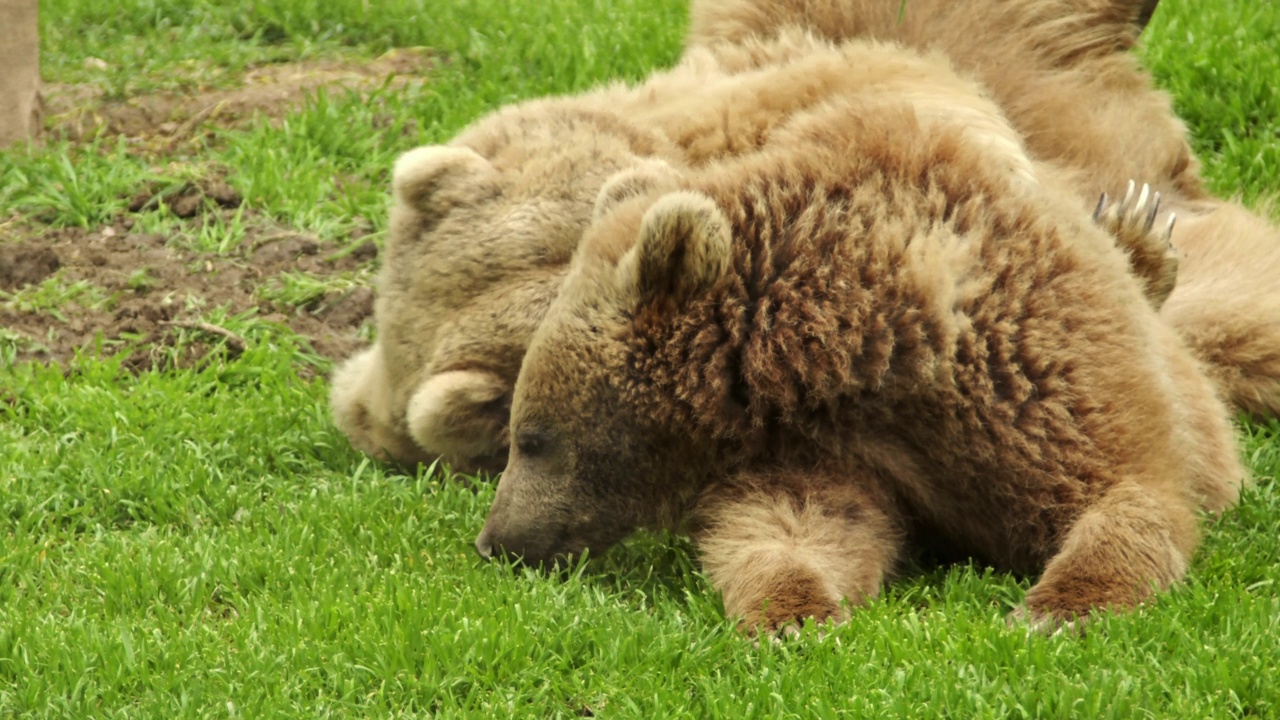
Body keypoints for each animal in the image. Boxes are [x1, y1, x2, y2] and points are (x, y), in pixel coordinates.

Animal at [476, 49, 1244, 627]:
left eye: (532, 436)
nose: (494, 541)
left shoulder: (1033, 361)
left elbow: (1124, 489)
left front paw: (1056, 607)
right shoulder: (819, 445)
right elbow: (798, 523)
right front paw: (796, 613)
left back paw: (1138, 230)